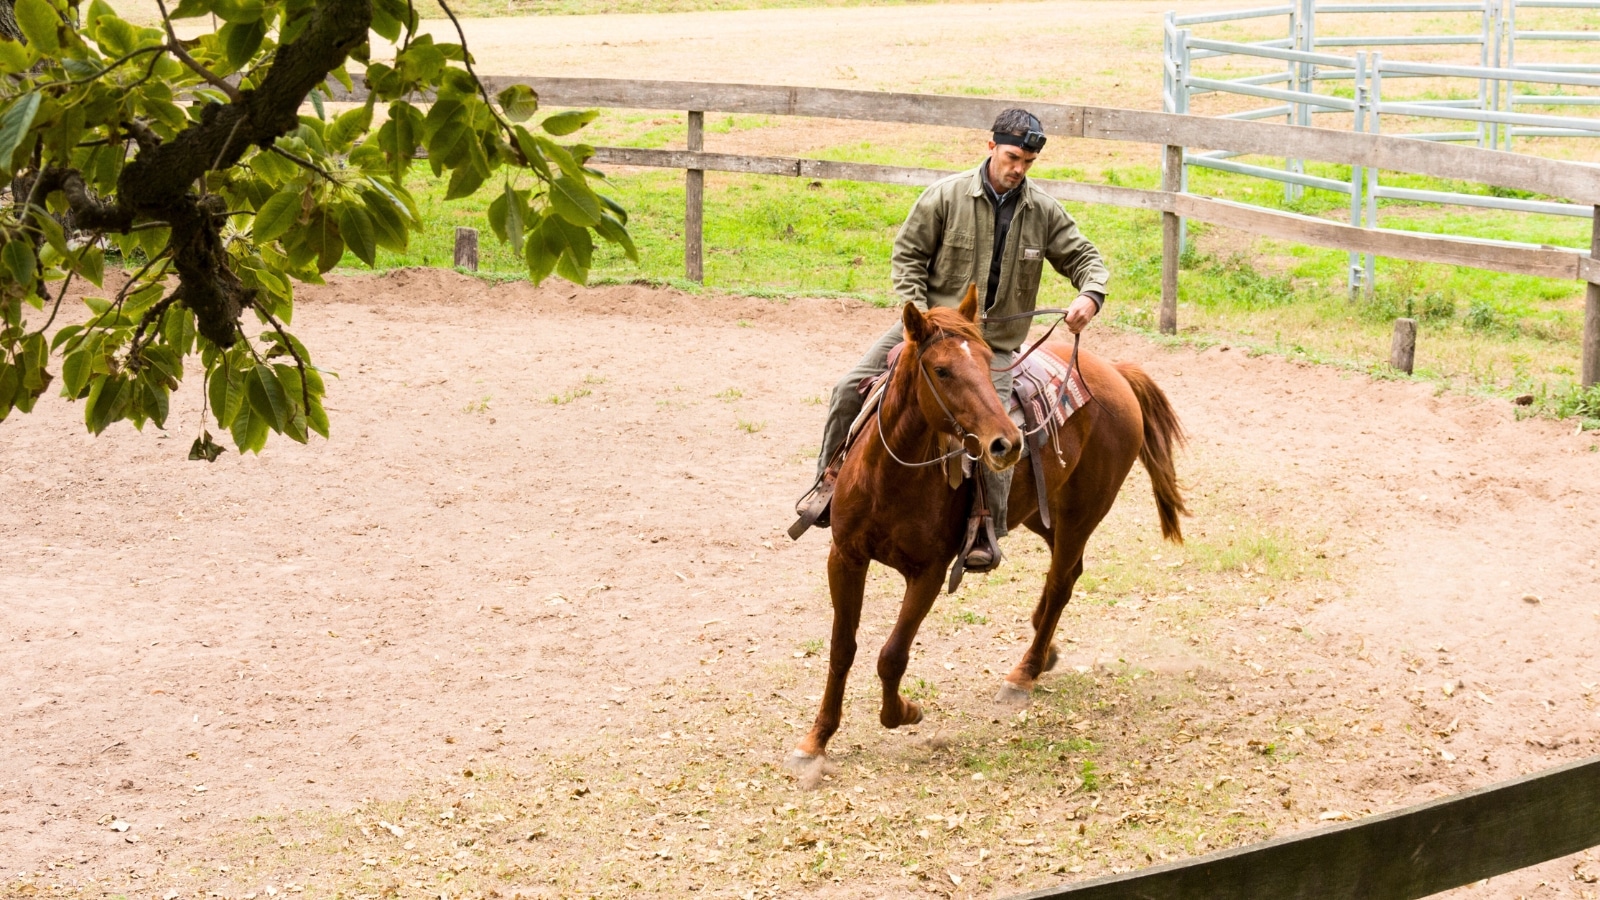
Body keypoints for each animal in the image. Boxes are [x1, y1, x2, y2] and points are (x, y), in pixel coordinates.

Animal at [786, 287, 1187, 787]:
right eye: (941, 370)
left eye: (983, 360)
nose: (1007, 442)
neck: (890, 476)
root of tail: (1116, 373)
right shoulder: (845, 557)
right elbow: (842, 650)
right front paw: (816, 741)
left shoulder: (929, 572)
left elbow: (892, 655)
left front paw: (904, 711)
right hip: (1043, 513)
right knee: (1066, 573)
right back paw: (1044, 647)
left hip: (1082, 514)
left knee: (1061, 581)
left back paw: (1024, 672)